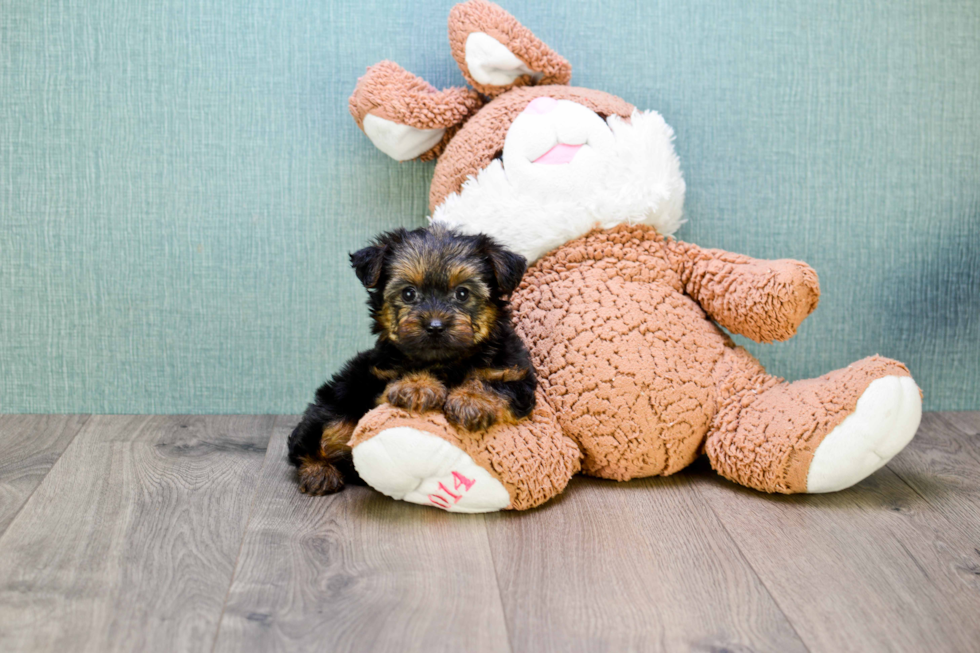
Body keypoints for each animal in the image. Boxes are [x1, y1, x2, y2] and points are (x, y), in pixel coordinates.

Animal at [288, 224, 536, 494]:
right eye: (409, 294)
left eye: (462, 293)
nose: (435, 326)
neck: (445, 362)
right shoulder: (377, 376)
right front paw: (417, 386)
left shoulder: (515, 373)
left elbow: (495, 383)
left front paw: (472, 399)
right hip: (337, 406)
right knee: (309, 440)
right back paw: (318, 471)